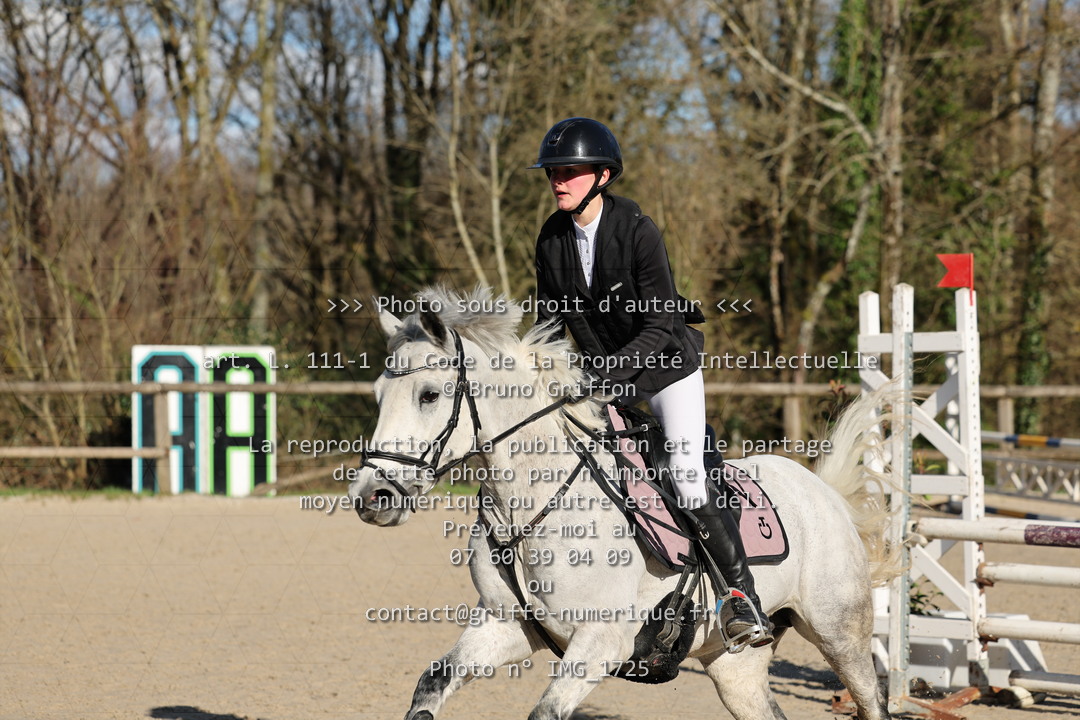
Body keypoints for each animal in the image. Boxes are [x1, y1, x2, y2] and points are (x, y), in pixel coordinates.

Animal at [348, 286, 896, 720]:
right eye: (376, 395)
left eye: (429, 394)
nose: (372, 497)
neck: (528, 506)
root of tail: (822, 491)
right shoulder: (505, 626)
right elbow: (432, 683)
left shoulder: (601, 642)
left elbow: (546, 710)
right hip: (734, 666)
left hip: (841, 632)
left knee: (871, 700)